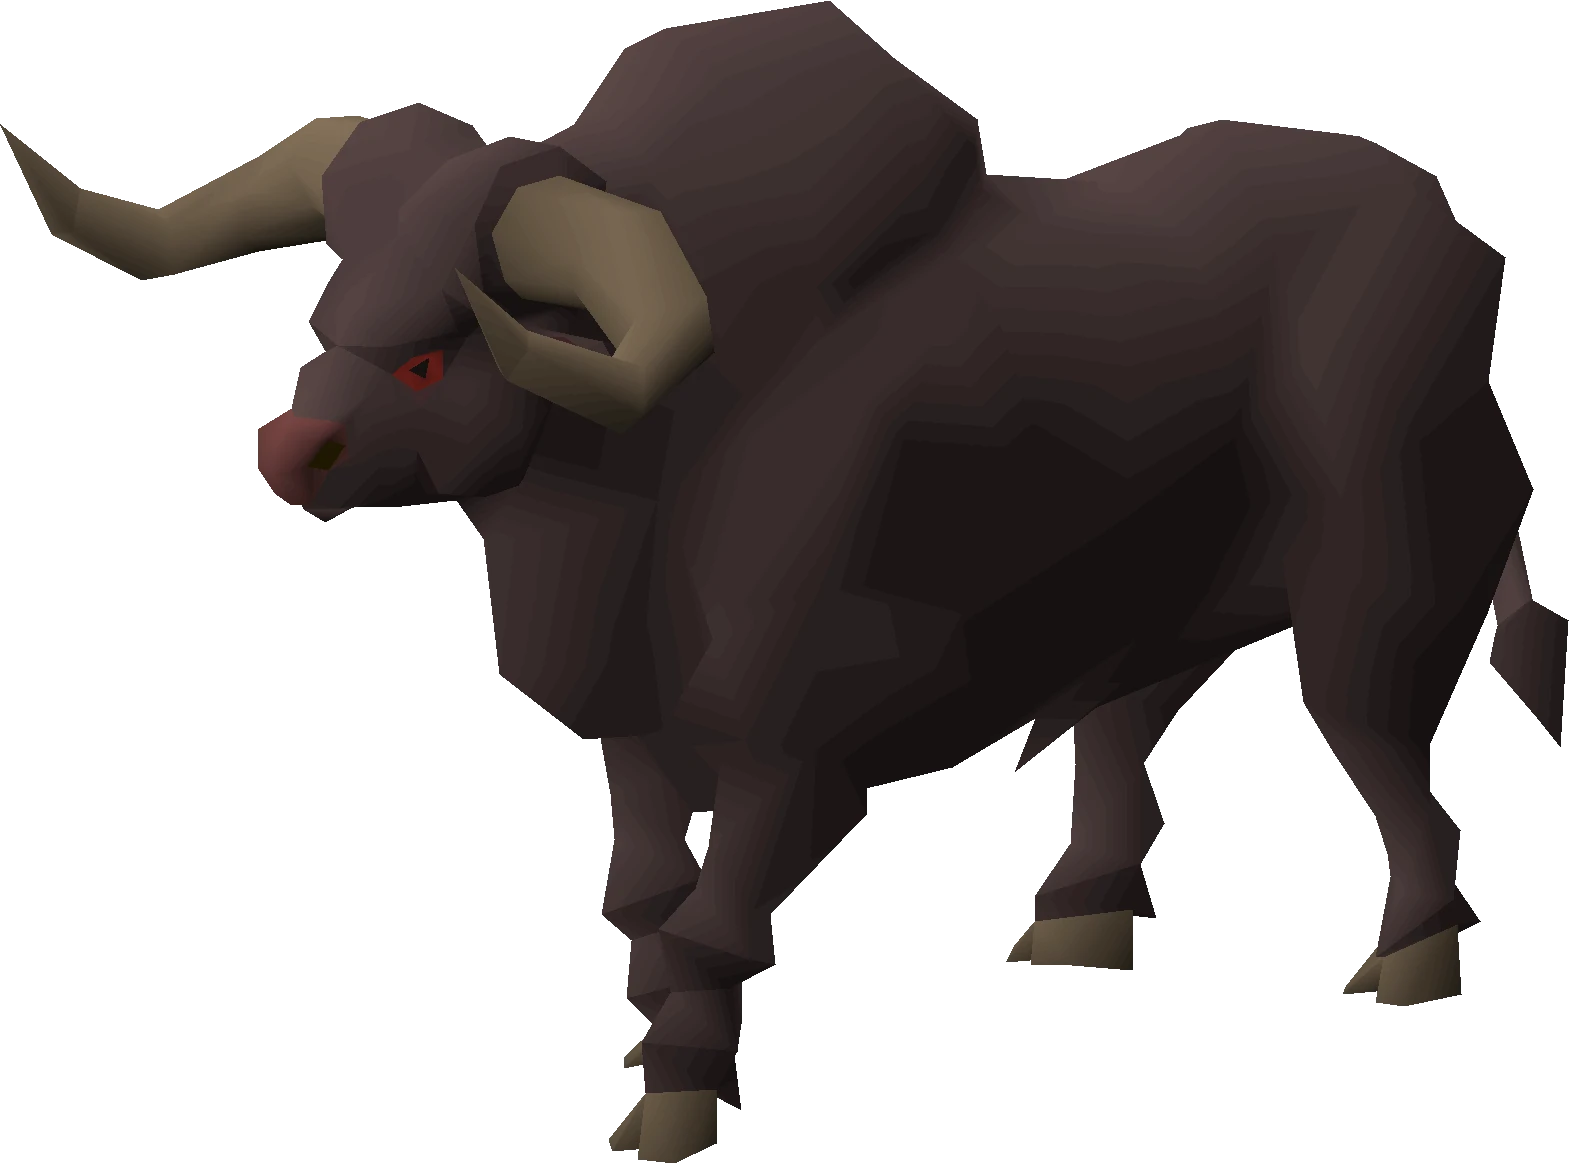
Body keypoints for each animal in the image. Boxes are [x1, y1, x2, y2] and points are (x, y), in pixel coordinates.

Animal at [5, 5, 1562, 1160]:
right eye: (325, 312)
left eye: (440, 353)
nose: (290, 450)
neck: (653, 485)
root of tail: (1461, 250)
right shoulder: (634, 737)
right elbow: (642, 900)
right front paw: (649, 1051)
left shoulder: (791, 734)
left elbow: (712, 916)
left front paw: (679, 1096)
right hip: (1166, 597)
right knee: (1130, 717)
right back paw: (1075, 915)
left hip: (1375, 577)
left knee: (1385, 752)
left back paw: (1410, 958)